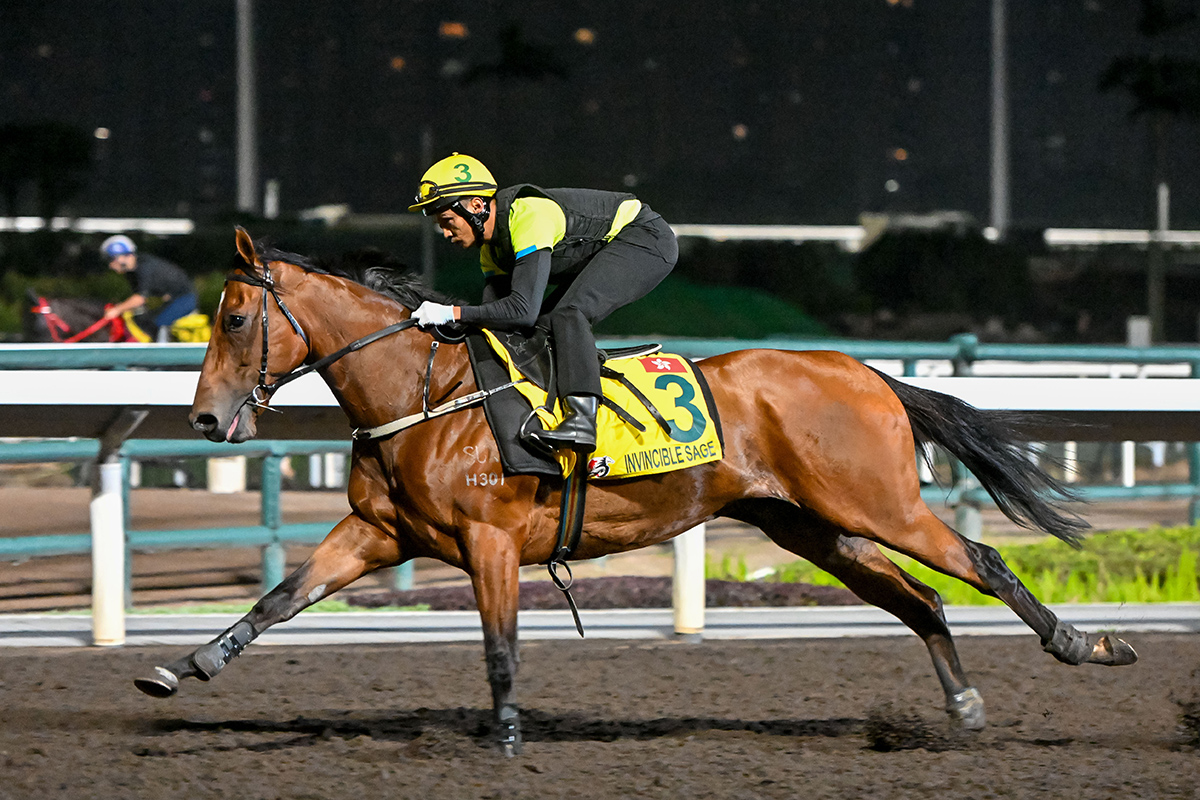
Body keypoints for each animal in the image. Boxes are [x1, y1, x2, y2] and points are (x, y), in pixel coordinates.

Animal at [136, 226, 1137, 758]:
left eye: (234, 318)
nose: (203, 418)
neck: (423, 394)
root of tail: (869, 373)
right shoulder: (376, 534)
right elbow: (278, 599)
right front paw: (184, 665)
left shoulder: (490, 541)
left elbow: (499, 650)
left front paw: (506, 739)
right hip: (812, 527)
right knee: (919, 599)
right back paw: (963, 706)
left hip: (878, 505)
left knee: (982, 560)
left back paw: (1086, 643)